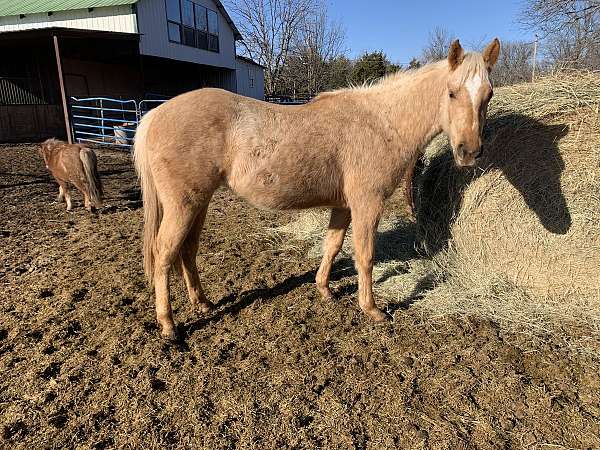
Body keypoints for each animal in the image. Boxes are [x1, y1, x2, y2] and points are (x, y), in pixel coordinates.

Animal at [135, 39, 502, 342]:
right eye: (452, 92)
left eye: (488, 95)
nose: (470, 152)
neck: (380, 123)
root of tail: (155, 115)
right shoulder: (367, 204)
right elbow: (365, 256)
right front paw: (371, 309)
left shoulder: (344, 206)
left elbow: (333, 245)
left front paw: (324, 289)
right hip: (184, 204)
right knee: (164, 253)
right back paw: (169, 325)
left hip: (199, 202)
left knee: (187, 250)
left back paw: (203, 303)